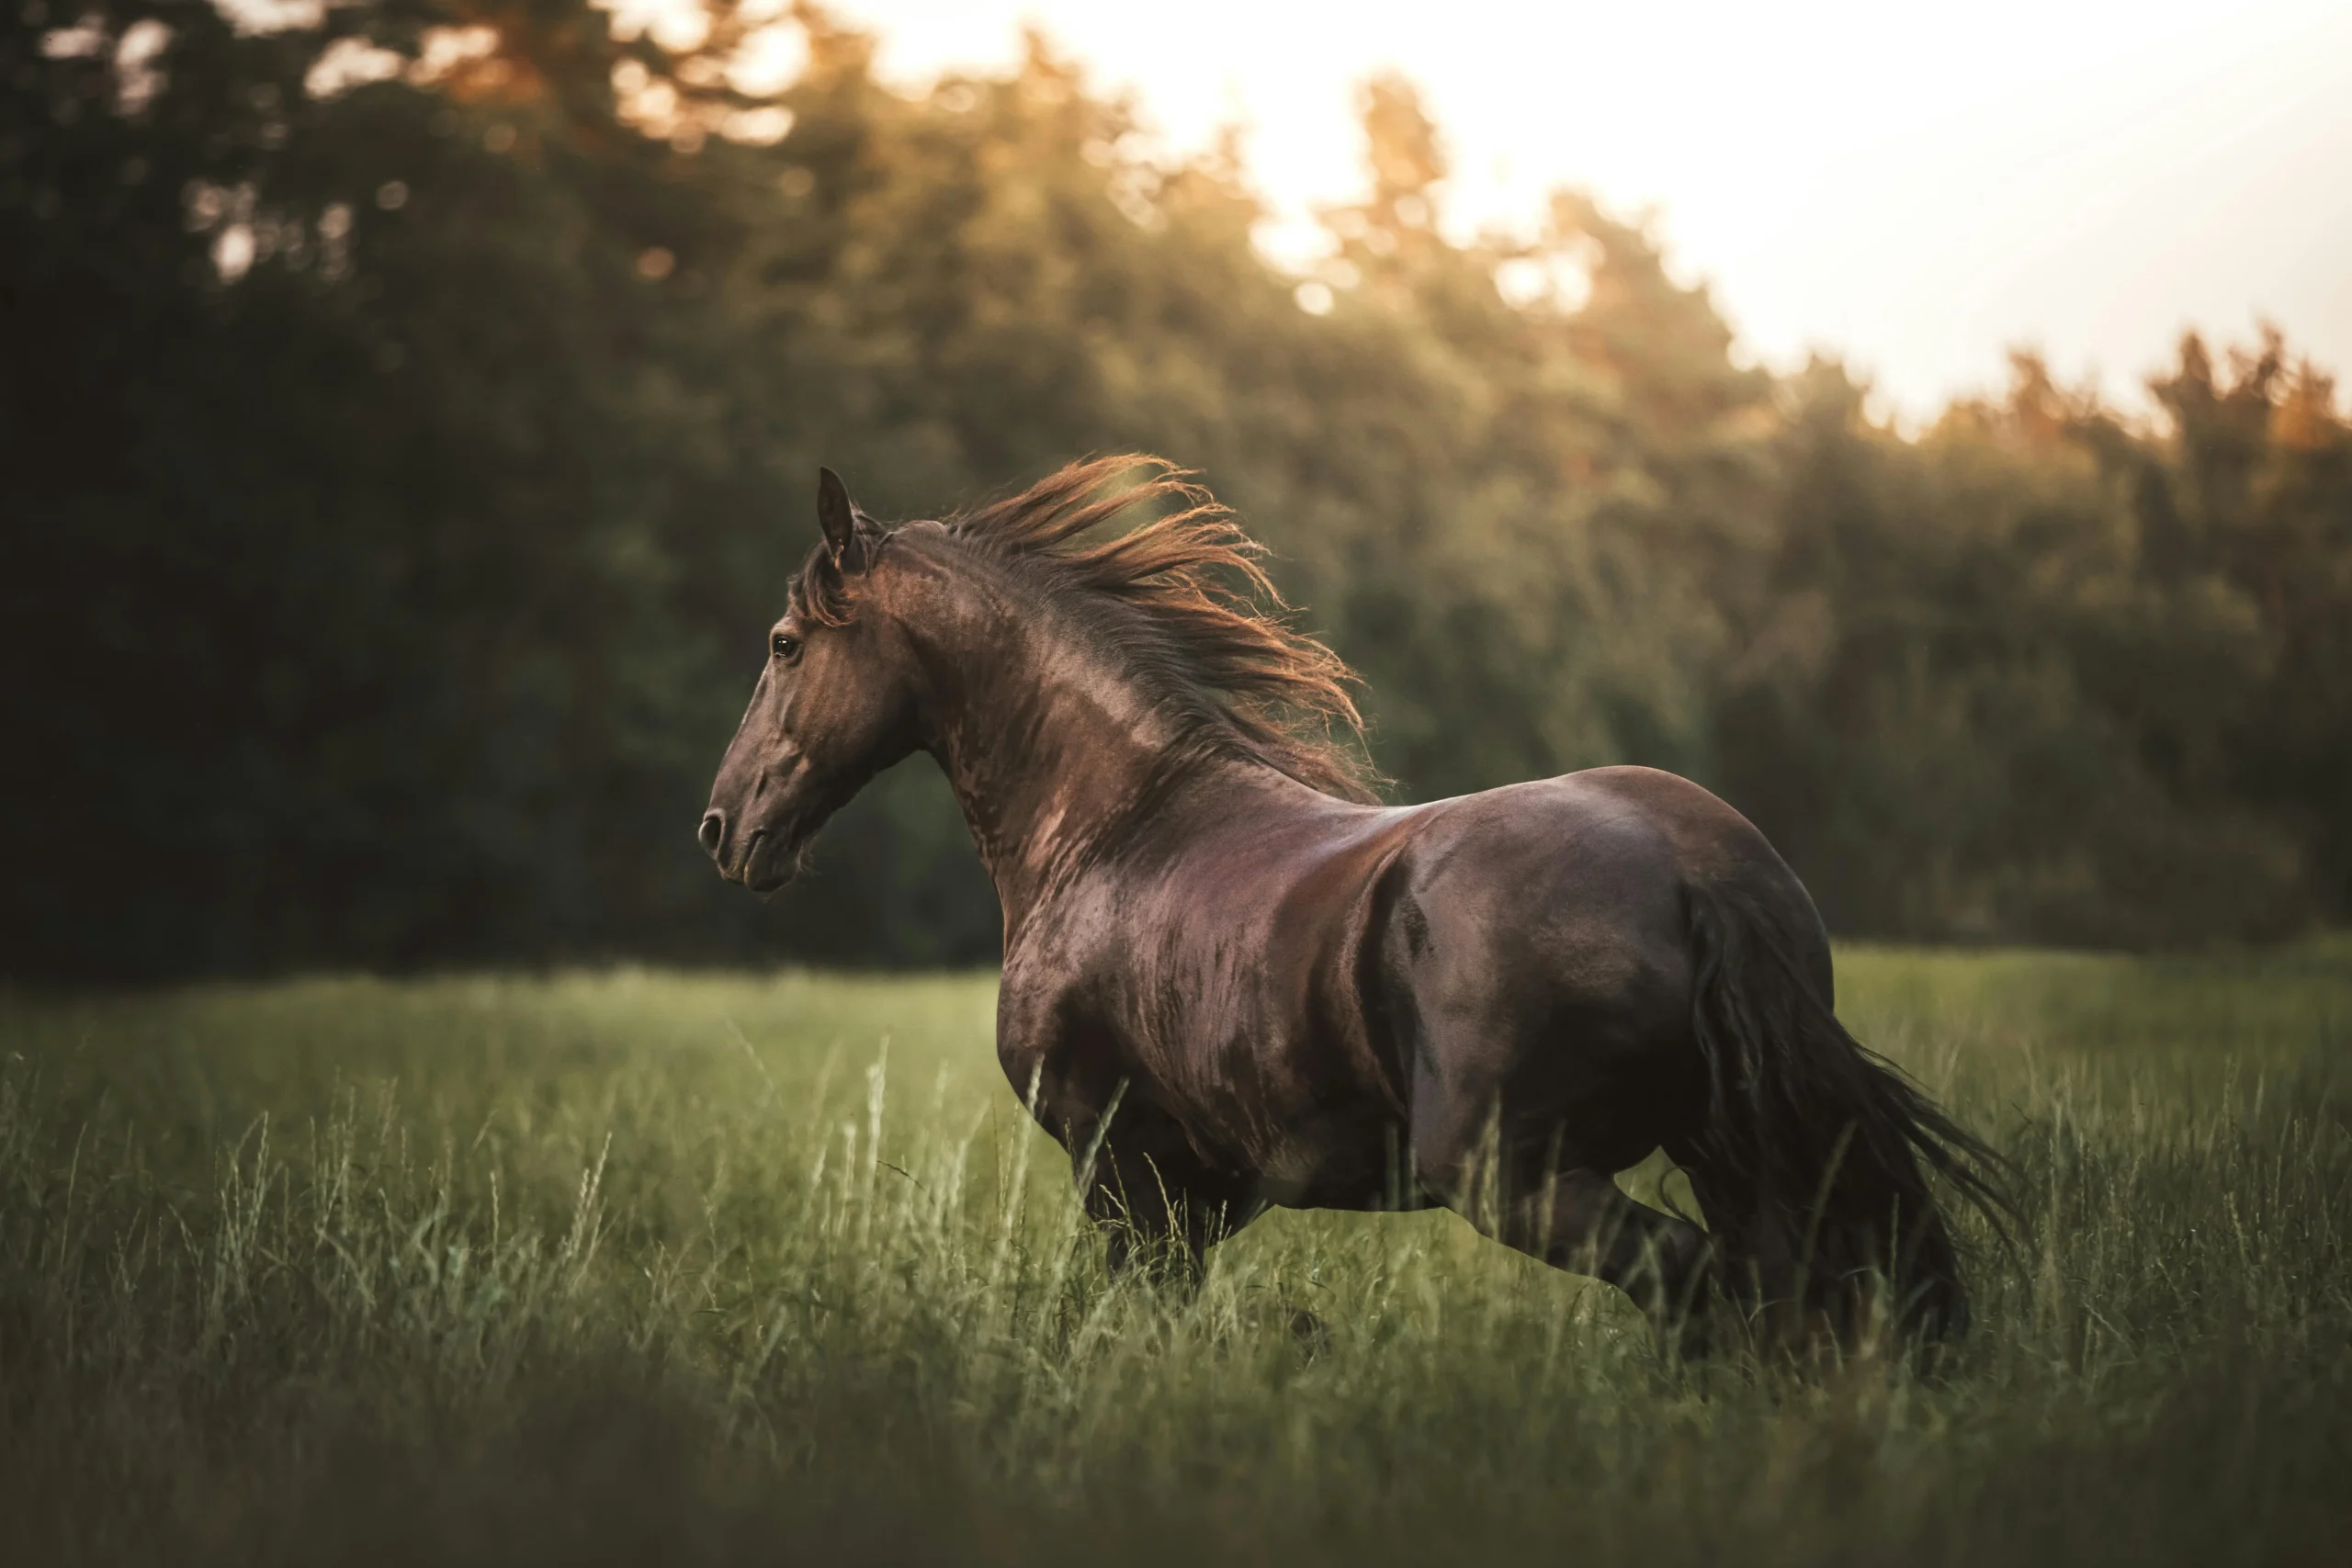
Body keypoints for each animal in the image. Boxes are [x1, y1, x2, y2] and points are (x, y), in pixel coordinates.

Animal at [699, 455, 2012, 1352]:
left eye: (782, 643)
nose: (722, 829)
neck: (1116, 824)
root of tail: (1695, 870)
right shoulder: (1202, 1192)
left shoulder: (1118, 1164)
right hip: (1733, 1148)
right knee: (1804, 1299)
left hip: (1515, 1175)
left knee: (1707, 1288)